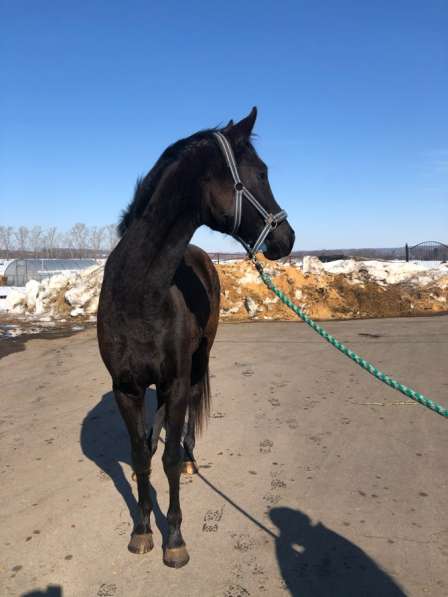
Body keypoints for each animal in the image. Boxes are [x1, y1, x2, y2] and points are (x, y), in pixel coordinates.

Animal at [96, 107, 296, 568]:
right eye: (261, 172)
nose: (287, 238)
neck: (138, 293)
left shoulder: (176, 380)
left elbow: (168, 461)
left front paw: (173, 538)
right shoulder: (125, 389)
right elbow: (139, 457)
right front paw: (141, 530)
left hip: (200, 359)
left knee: (187, 414)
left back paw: (190, 457)